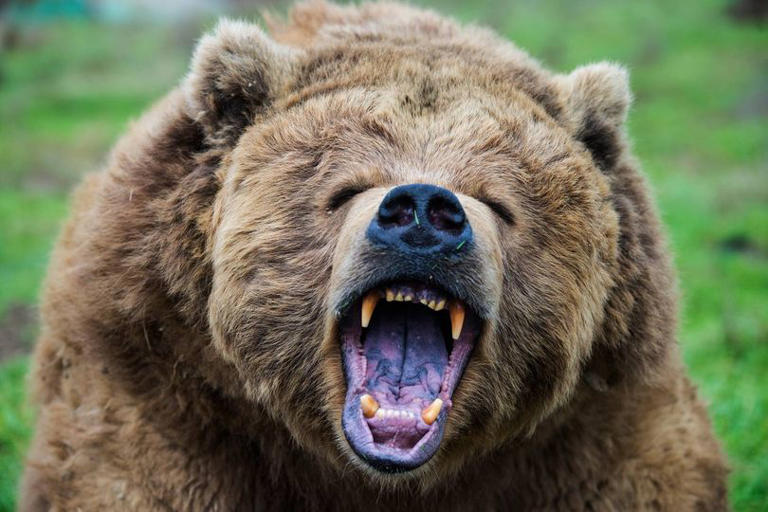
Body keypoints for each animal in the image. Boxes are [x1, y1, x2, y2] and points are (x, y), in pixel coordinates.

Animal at [19, 1, 728, 510]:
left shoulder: (598, 424)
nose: (422, 212)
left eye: (496, 200)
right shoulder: (162, 381)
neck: (378, 474)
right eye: (346, 188)